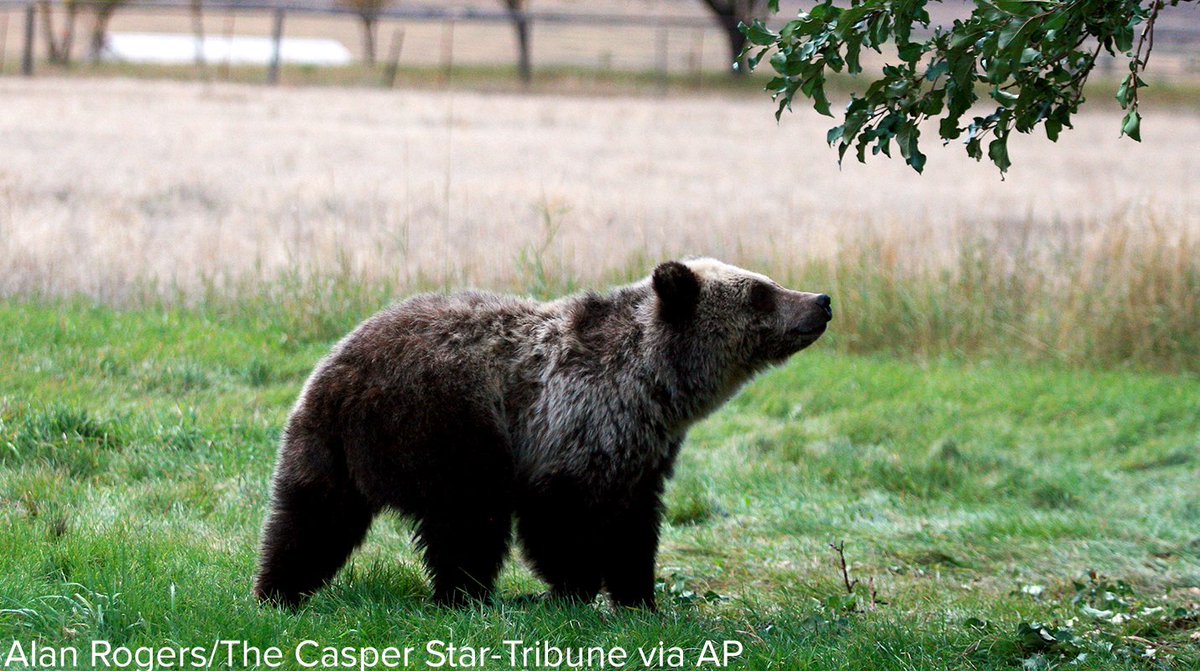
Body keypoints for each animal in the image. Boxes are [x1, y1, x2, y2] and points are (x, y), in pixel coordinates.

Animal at [253, 258, 831, 610]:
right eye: (761, 291)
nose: (822, 300)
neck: (656, 387)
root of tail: (339, 370)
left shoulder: (644, 454)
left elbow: (634, 527)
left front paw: (640, 598)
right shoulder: (573, 424)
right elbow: (560, 521)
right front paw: (574, 589)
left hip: (325, 446)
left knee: (310, 517)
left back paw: (277, 590)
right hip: (448, 422)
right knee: (468, 520)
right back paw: (467, 597)